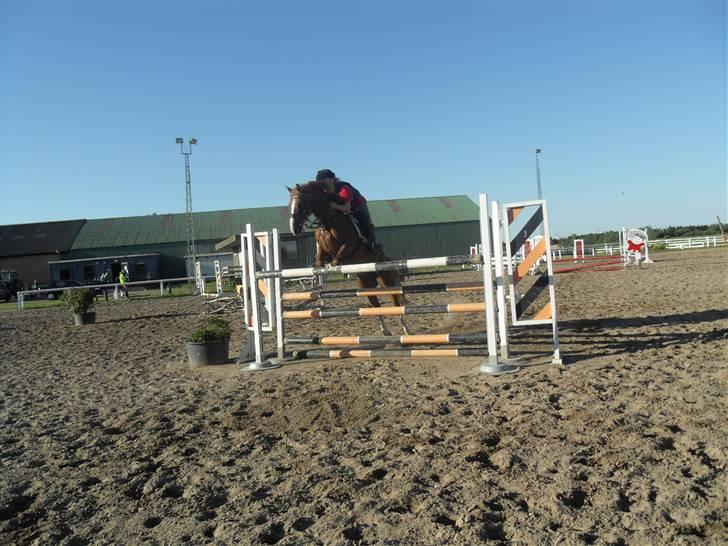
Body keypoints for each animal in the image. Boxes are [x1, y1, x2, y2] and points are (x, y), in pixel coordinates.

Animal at [286, 181, 410, 334]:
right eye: (289, 204)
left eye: (301, 203)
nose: (294, 229)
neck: (328, 221)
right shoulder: (323, 249)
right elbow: (320, 257)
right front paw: (319, 266)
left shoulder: (349, 244)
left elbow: (336, 258)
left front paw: (330, 266)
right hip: (365, 285)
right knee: (376, 305)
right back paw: (385, 331)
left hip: (386, 280)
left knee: (396, 303)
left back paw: (406, 330)